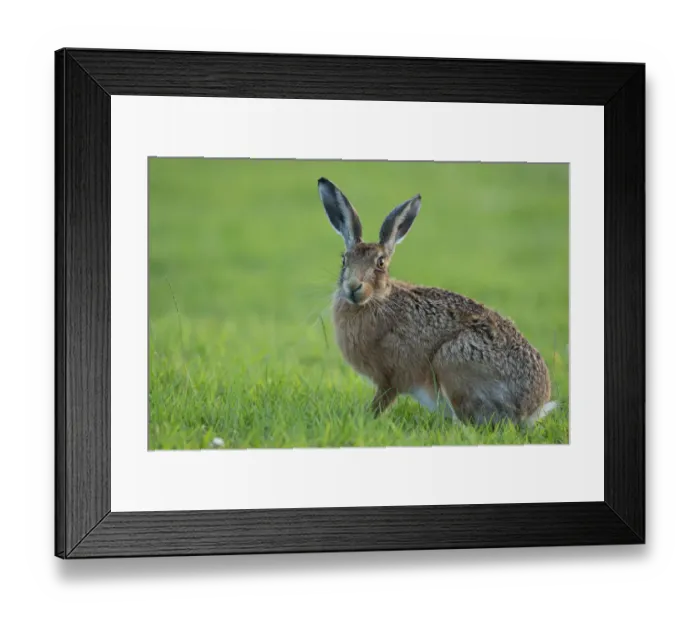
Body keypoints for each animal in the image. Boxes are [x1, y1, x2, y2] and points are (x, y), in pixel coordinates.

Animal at [318, 177, 557, 427]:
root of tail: (532, 408)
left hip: (452, 363)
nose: (353, 287)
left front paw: (367, 418)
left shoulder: (390, 377)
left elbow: (381, 401)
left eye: (380, 263)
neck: (378, 299)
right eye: (344, 260)